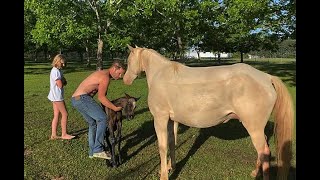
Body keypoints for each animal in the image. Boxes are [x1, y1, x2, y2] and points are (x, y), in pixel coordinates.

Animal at [124, 45, 294, 180]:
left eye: (128, 61)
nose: (125, 80)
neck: (161, 75)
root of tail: (266, 77)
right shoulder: (171, 120)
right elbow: (172, 143)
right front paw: (172, 166)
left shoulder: (160, 118)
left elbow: (162, 147)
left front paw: (164, 174)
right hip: (257, 128)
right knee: (263, 148)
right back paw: (254, 172)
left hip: (253, 127)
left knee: (264, 151)